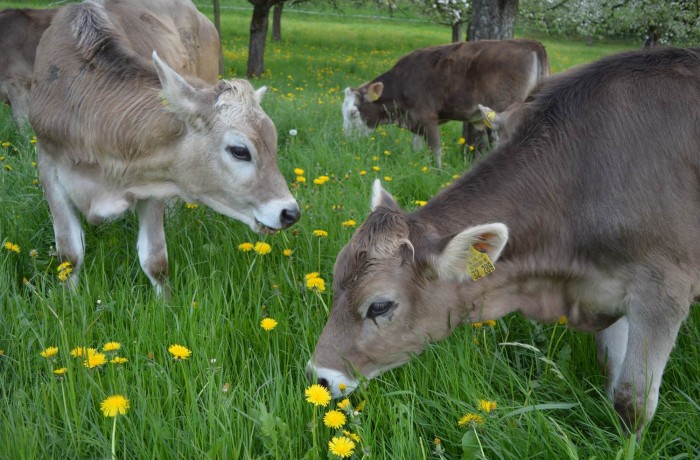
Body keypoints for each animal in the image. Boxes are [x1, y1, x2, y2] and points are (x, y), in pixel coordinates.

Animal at [30, 0, 300, 298]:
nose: (291, 213)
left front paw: (165, 303)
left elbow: (155, 259)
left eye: (273, 142)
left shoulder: (154, 175)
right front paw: (70, 299)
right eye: (240, 151)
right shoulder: (48, 166)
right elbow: (69, 255)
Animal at [342, 38, 548, 166]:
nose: (346, 142)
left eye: (353, 113)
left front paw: (436, 172)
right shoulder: (416, 121)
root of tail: (528, 42)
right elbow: (416, 148)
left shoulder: (428, 118)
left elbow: (436, 152)